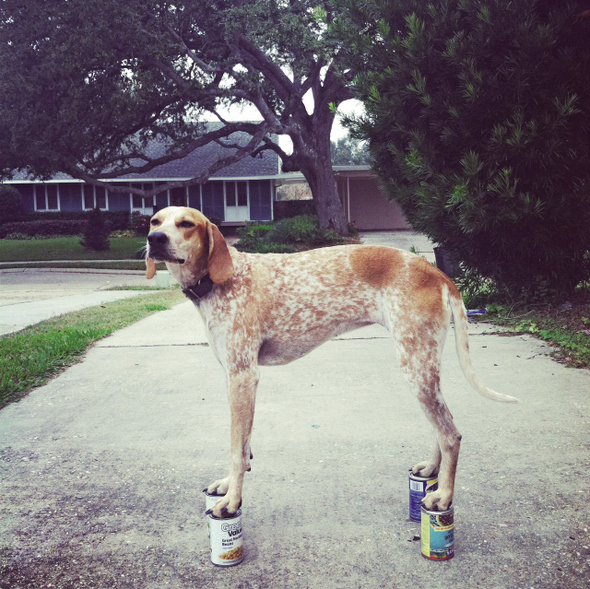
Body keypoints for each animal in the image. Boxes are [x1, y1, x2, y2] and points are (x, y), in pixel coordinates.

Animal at [147, 206, 520, 516]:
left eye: (186, 224)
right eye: (154, 221)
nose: (155, 239)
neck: (222, 279)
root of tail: (437, 272)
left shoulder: (243, 377)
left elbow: (236, 451)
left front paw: (232, 500)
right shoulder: (236, 379)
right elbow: (244, 445)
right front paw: (228, 486)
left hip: (416, 367)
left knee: (451, 434)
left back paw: (443, 496)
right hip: (424, 369)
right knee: (443, 428)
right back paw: (432, 471)